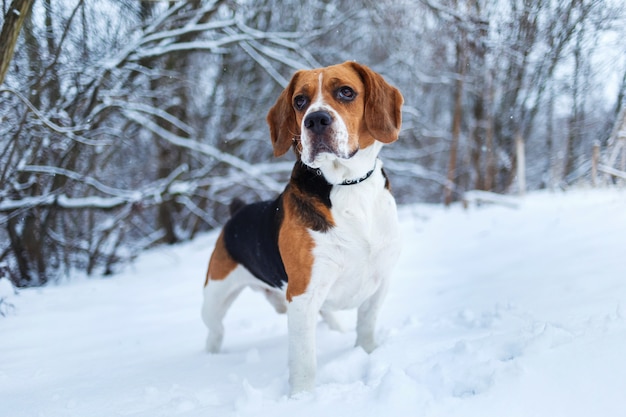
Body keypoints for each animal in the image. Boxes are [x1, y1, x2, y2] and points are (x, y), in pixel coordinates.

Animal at [202, 61, 402, 394]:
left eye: (346, 92)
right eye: (299, 101)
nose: (316, 120)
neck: (347, 186)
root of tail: (238, 210)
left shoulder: (381, 279)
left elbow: (366, 327)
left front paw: (367, 355)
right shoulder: (303, 296)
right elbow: (304, 360)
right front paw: (302, 397)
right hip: (213, 300)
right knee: (214, 333)